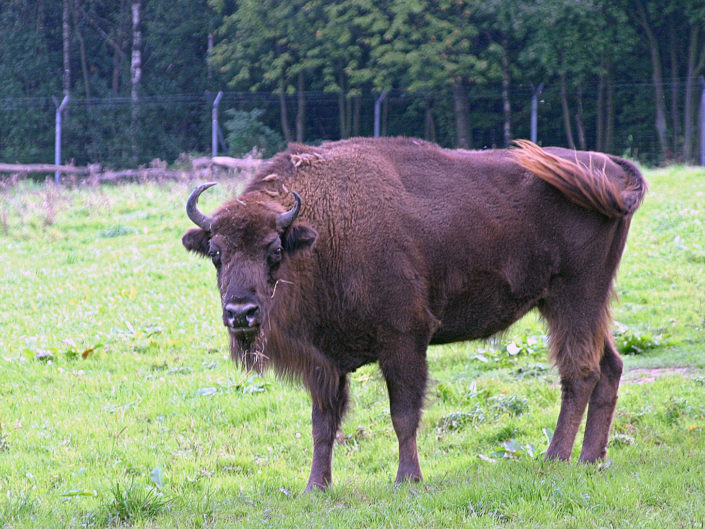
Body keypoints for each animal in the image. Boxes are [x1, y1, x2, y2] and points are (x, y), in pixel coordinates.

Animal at [182, 137, 646, 491]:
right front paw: (316, 486)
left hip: (575, 298)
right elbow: (322, 424)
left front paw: (407, 479)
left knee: (580, 372)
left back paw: (556, 458)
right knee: (610, 366)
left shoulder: (403, 340)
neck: (324, 233)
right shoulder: (324, 362)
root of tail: (611, 168)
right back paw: (591, 458)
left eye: (274, 250)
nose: (241, 313)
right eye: (216, 254)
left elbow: (402, 414)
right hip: (574, 305)